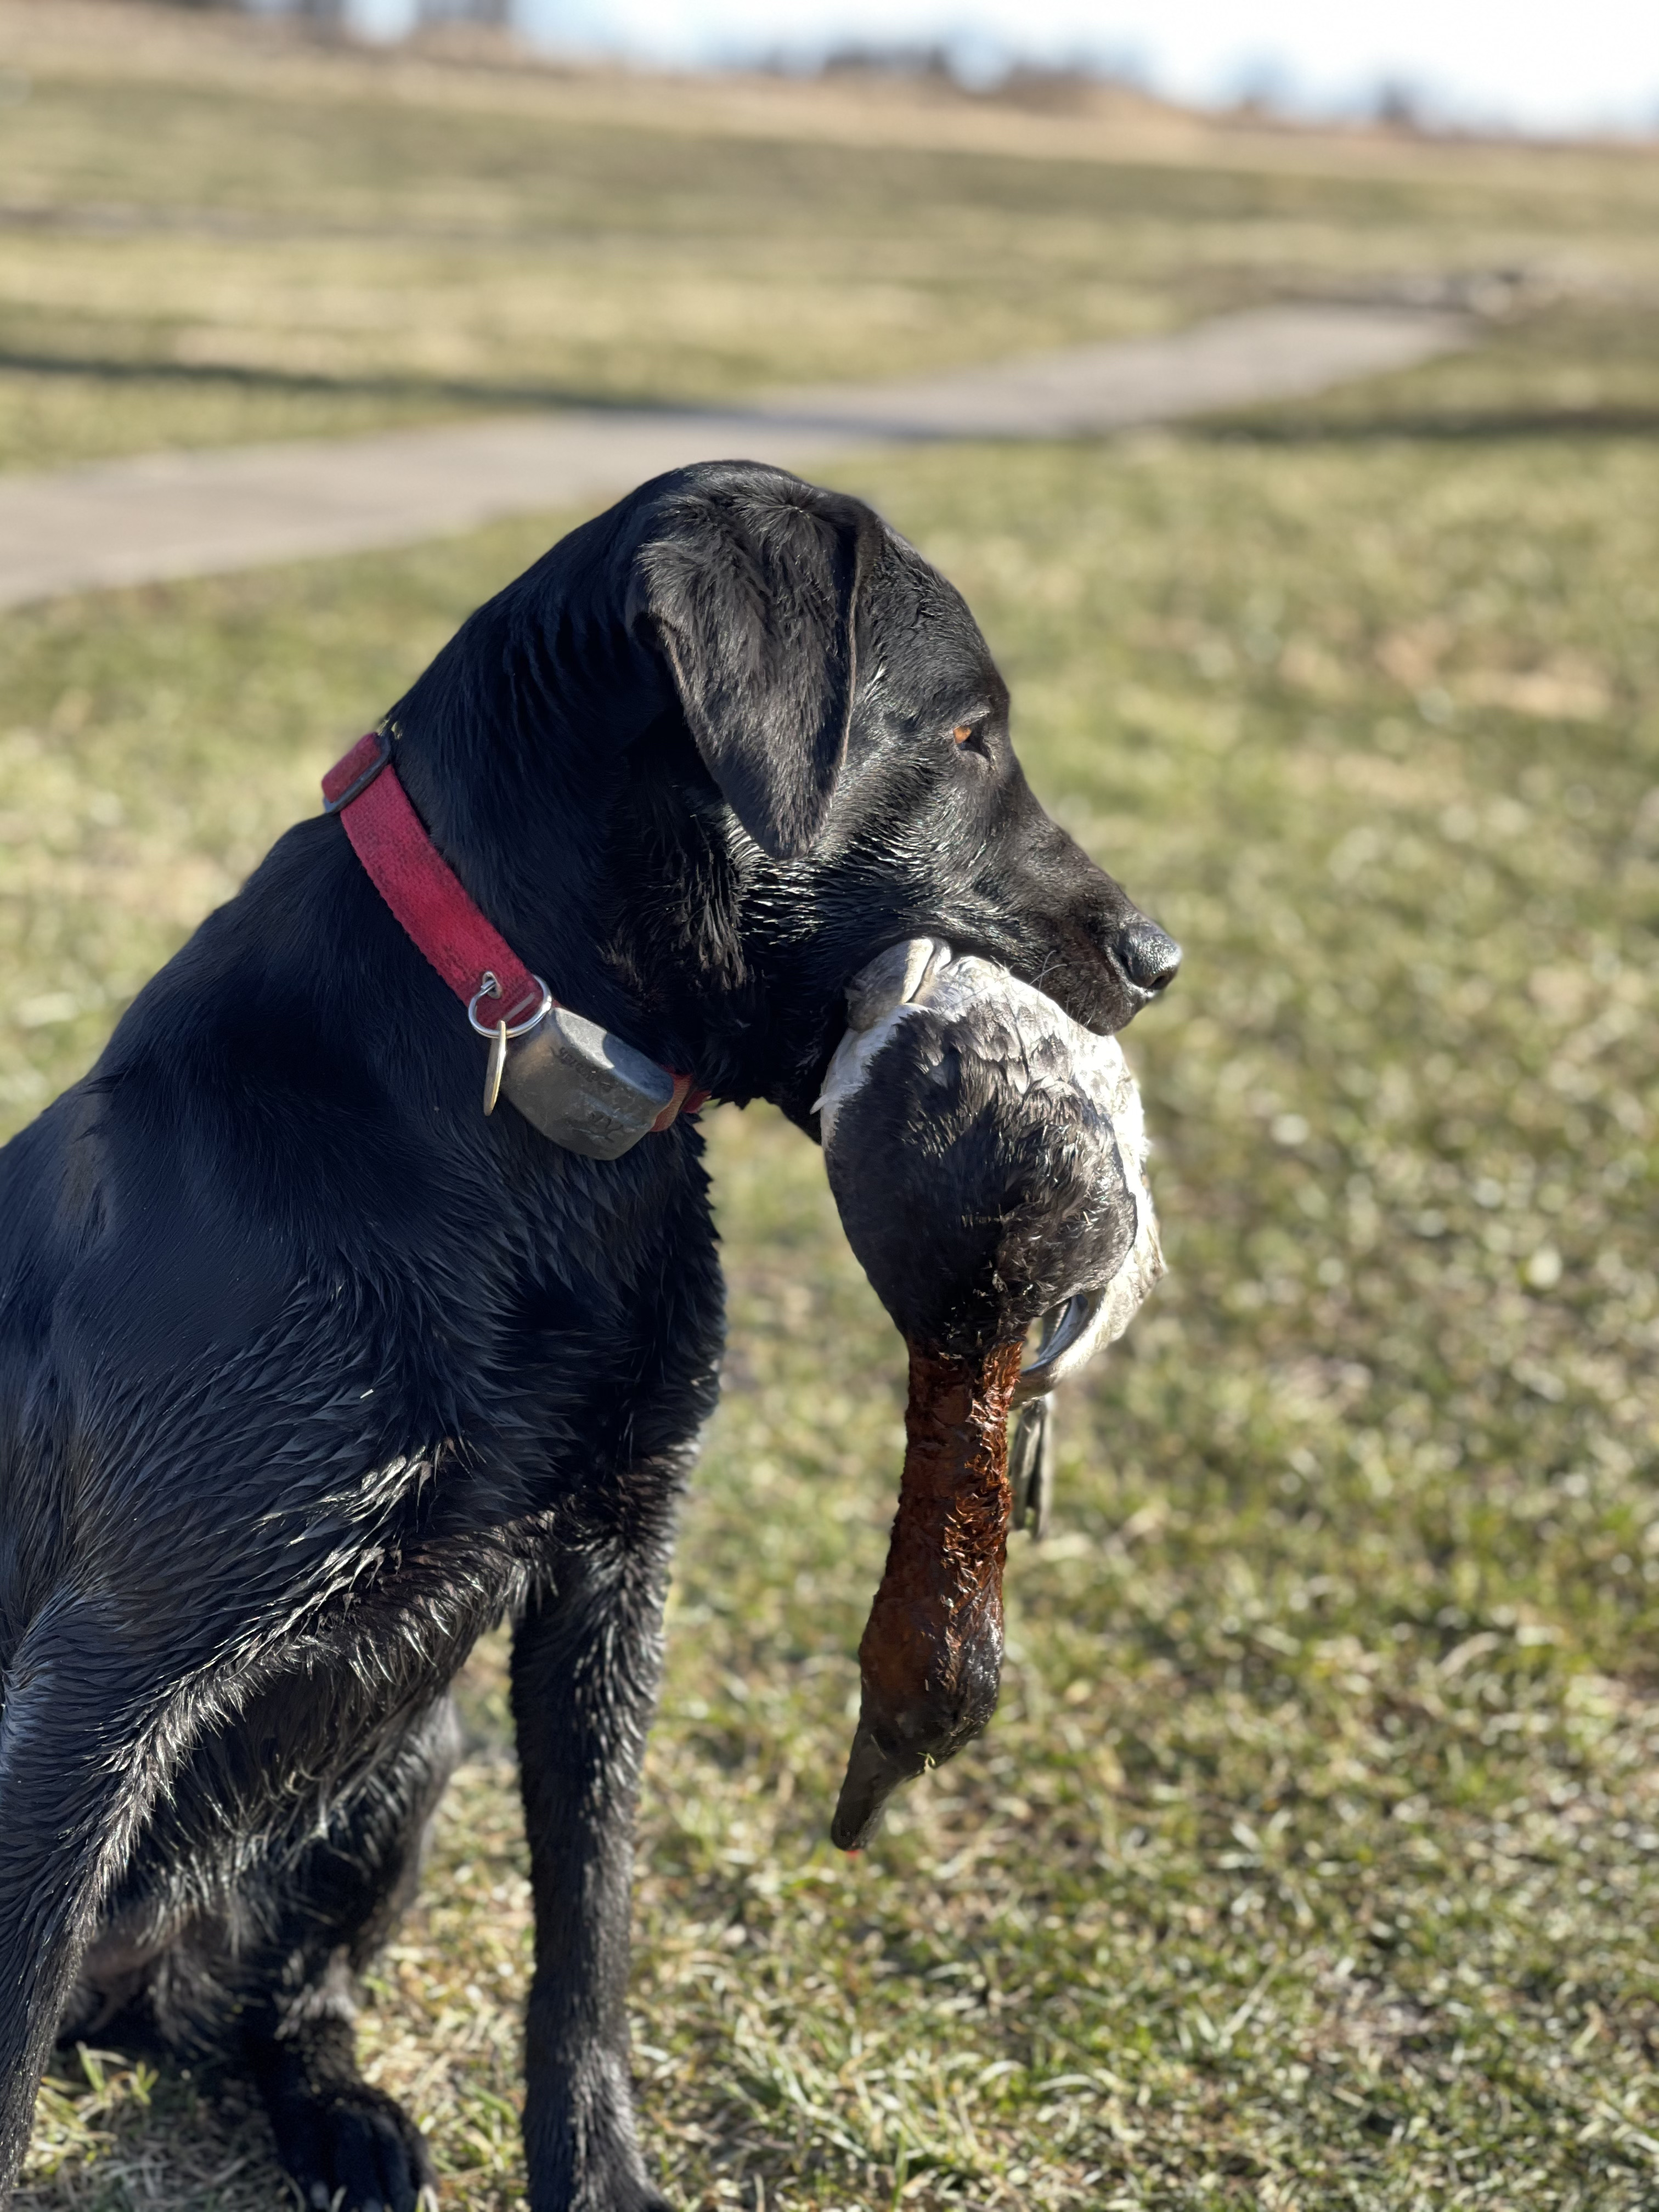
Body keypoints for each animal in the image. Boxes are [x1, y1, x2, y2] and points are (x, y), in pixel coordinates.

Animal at [0, 458, 1186, 2203]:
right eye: (968, 734)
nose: (1164, 958)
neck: (499, 1113)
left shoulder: (612, 1577)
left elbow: (588, 1940)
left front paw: (599, 2174)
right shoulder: (98, 1680)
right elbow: (2, 2072)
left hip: (410, 1757)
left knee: (277, 2009)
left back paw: (348, 2119)